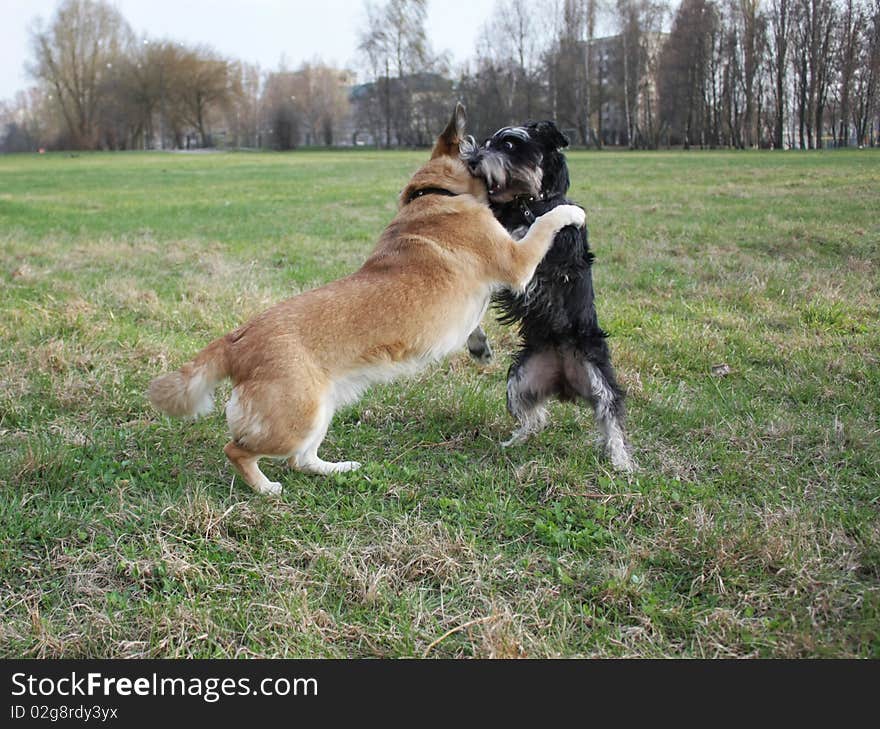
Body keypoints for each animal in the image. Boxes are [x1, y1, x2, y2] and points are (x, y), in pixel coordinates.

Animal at [149, 104, 588, 494]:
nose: (488, 149)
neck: (433, 193)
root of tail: (237, 340)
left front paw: (478, 345)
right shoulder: (516, 261)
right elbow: (544, 224)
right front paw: (571, 211)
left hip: (319, 411)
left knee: (301, 460)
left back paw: (338, 468)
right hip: (294, 419)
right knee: (238, 450)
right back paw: (266, 488)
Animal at [460, 121, 632, 472]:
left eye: (510, 145)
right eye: (488, 142)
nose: (470, 159)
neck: (526, 203)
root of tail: (565, 381)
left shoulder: (548, 259)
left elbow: (528, 234)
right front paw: (477, 343)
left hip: (597, 372)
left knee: (611, 415)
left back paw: (621, 460)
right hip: (520, 381)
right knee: (535, 419)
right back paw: (513, 442)